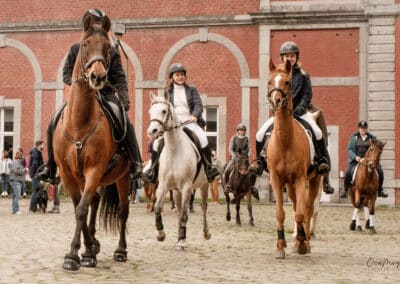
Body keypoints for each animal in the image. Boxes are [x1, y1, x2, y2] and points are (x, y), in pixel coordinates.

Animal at [53, 25, 130, 270]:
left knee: (123, 211)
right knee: (94, 202)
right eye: (85, 44)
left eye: (107, 47)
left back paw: (121, 250)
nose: (98, 76)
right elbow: (80, 207)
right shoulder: (68, 174)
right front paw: (86, 251)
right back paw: (93, 244)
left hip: (122, 177)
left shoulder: (94, 170)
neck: (80, 122)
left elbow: (81, 210)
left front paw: (74, 254)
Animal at [146, 92, 209, 250]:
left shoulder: (187, 187)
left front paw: (181, 242)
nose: (152, 132)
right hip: (176, 191)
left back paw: (205, 233)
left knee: (203, 207)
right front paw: (161, 234)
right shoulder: (163, 185)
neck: (174, 149)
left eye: (164, 111)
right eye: (150, 112)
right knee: (180, 211)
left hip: (204, 185)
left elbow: (185, 215)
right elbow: (158, 208)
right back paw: (181, 237)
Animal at [268, 58, 324, 258]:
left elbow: (301, 213)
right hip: (290, 185)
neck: (285, 142)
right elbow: (280, 213)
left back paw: (305, 241)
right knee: (295, 207)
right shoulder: (276, 180)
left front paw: (301, 244)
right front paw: (280, 246)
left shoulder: (301, 179)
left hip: (314, 181)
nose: (276, 101)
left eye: (287, 82)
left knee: (308, 209)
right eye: (269, 82)